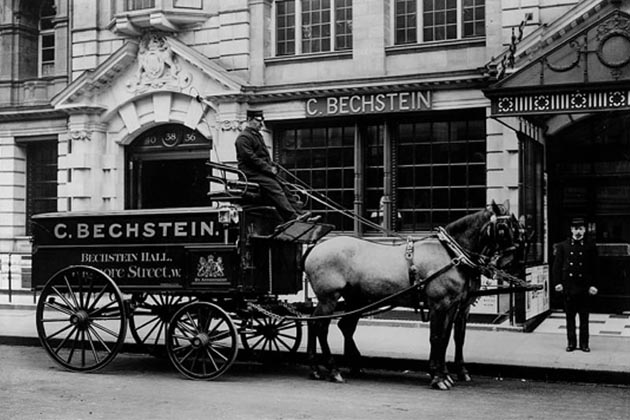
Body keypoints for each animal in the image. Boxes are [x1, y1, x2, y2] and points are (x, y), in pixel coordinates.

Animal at [304, 201, 524, 390]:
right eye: (504, 228)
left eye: (517, 228)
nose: (516, 262)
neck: (452, 255)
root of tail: (315, 247)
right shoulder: (439, 305)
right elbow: (437, 337)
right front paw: (438, 377)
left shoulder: (455, 306)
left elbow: (448, 338)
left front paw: (446, 373)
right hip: (329, 298)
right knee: (320, 326)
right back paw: (333, 369)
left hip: (354, 299)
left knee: (331, 324)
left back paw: (321, 368)